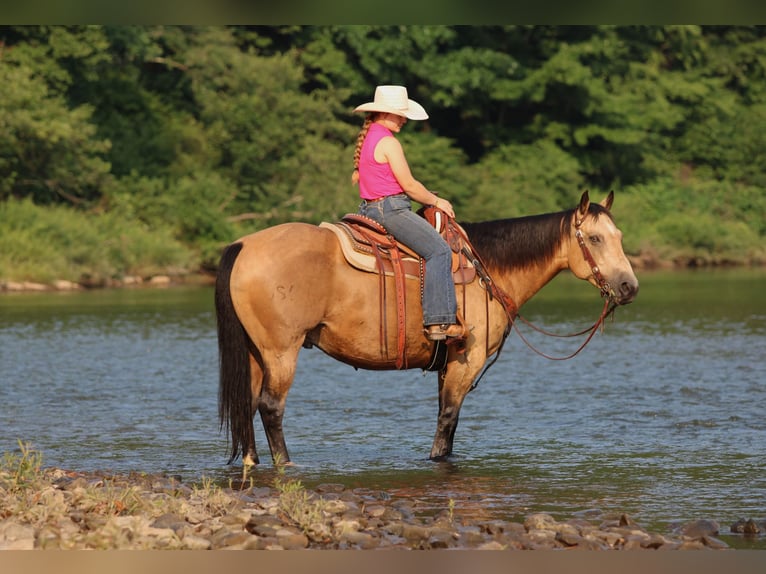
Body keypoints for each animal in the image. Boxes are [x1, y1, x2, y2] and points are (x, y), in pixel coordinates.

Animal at [215, 191, 639, 466]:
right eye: (595, 238)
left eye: (619, 237)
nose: (629, 287)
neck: (488, 268)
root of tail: (243, 245)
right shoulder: (466, 362)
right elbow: (447, 423)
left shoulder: (447, 365)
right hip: (280, 351)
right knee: (271, 407)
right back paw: (286, 463)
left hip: (256, 353)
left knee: (248, 404)